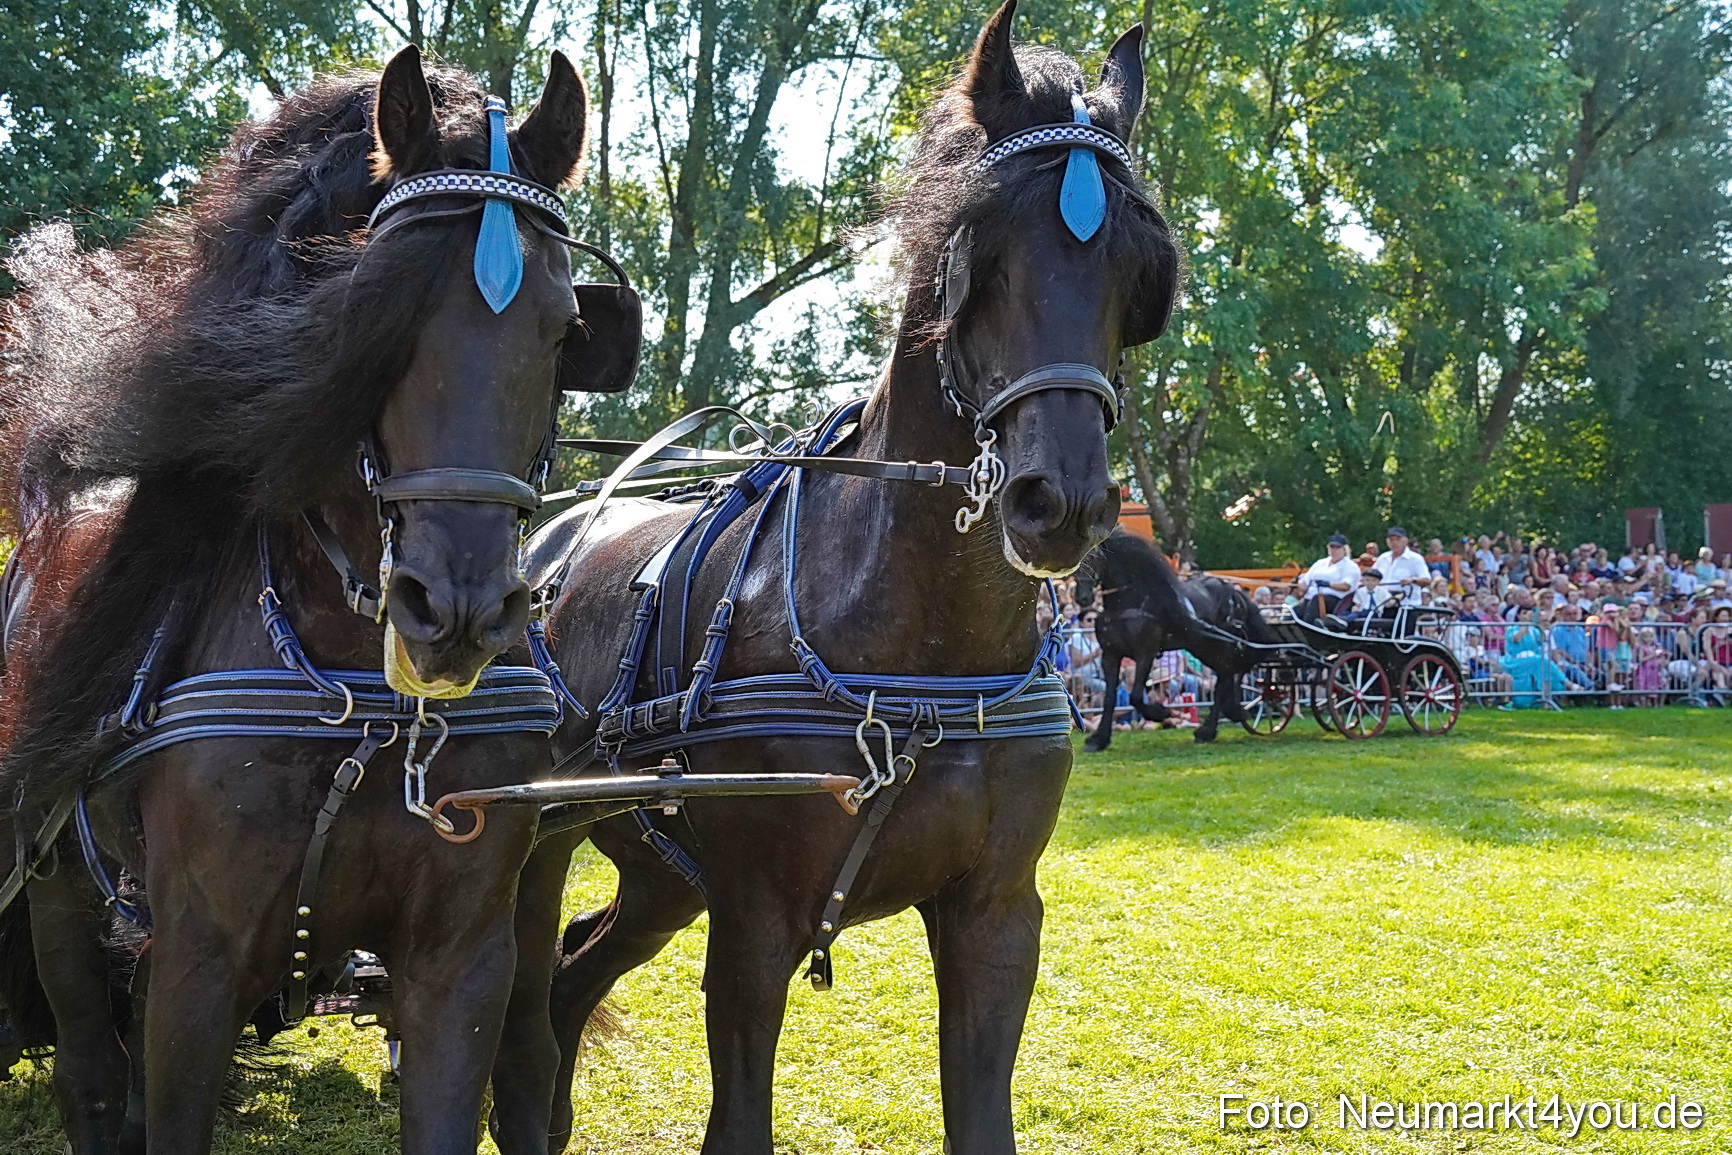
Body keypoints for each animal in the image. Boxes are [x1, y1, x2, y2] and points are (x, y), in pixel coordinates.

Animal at [0, 47, 621, 1154]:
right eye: (376, 317)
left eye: (566, 330)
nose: (455, 613)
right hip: (64, 893)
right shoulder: (197, 961)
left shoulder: (461, 962)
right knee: (91, 1074)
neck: (359, 699)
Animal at [472, 5, 1179, 1152]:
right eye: (981, 256)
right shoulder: (757, 920)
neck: (924, 661)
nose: (1060, 501)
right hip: (535, 841)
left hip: (660, 872)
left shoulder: (997, 914)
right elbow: (737, 1120)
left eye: (1135, 270)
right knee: (526, 1004)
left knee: (575, 976)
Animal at [1072, 527, 1278, 747]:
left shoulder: (1146, 653)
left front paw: (1160, 712)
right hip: (1204, 647)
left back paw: (1208, 729)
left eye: (1094, 556)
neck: (1126, 606)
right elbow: (1110, 697)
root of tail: (1233, 592)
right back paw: (1226, 717)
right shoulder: (1110, 655)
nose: (1082, 598)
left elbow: (1135, 696)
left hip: (1222, 645)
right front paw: (1098, 739)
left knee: (1225, 677)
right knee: (1226, 675)